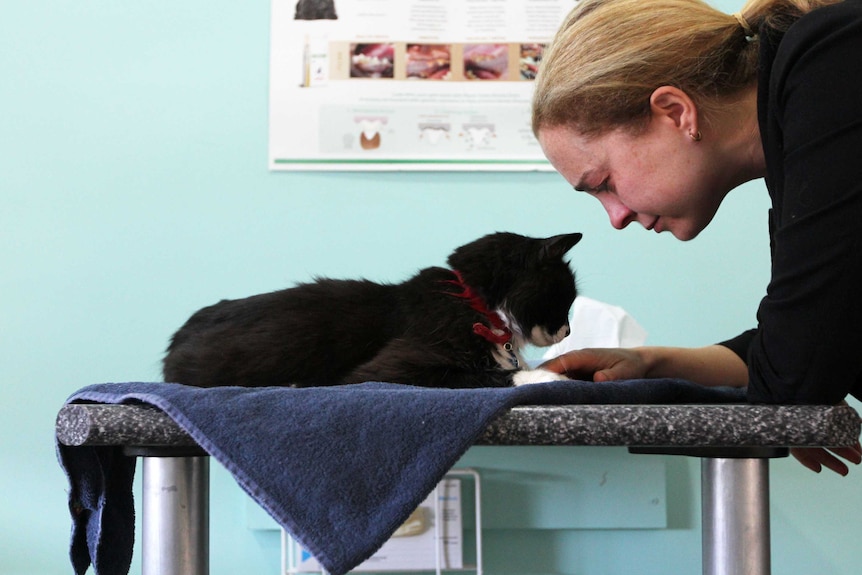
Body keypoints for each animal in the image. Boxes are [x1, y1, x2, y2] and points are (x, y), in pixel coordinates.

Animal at [164, 232, 580, 390]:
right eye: (566, 297)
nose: (569, 332)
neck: (474, 302)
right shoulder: (388, 369)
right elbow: (482, 375)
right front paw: (546, 376)